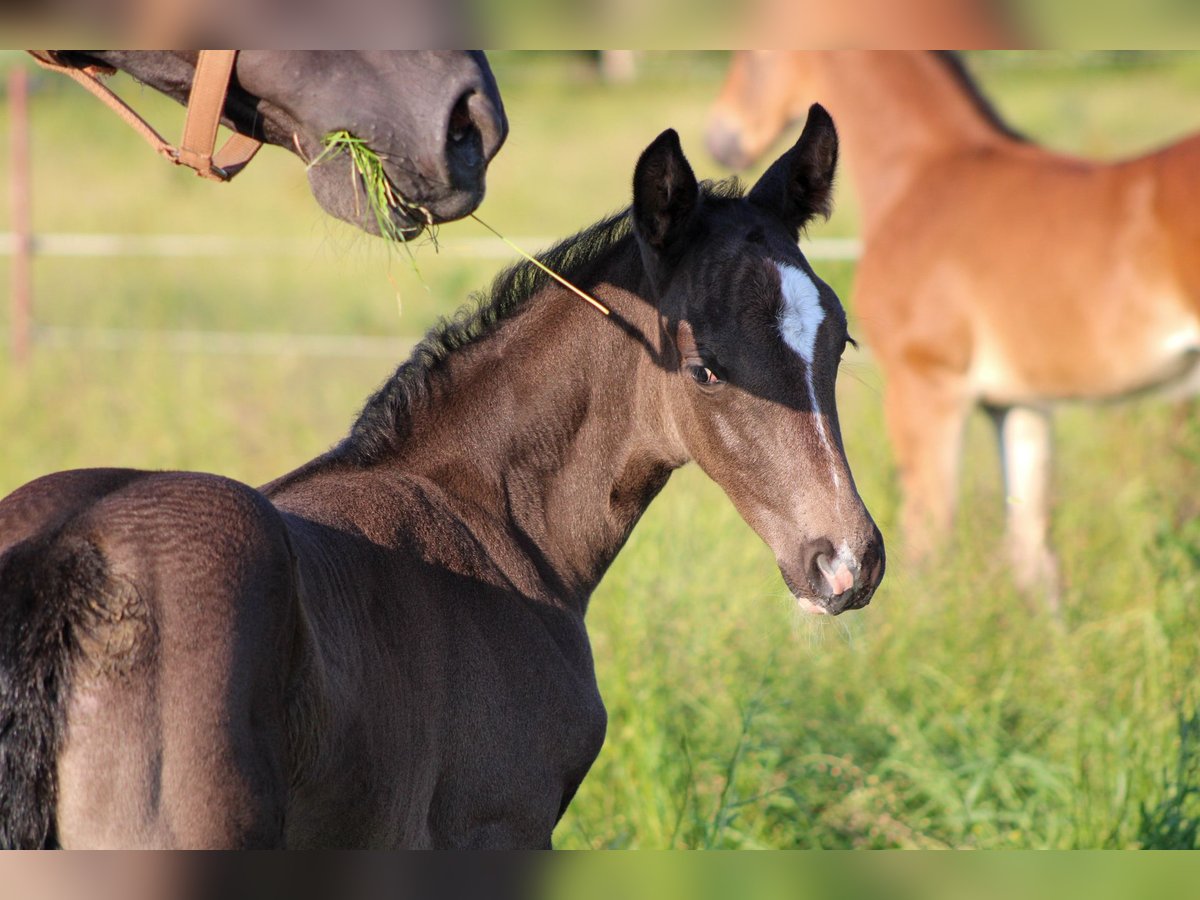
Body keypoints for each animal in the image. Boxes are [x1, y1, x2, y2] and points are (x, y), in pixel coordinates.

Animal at [0, 109, 883, 849]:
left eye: (839, 341)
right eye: (705, 369)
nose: (847, 562)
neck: (489, 515)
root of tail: (69, 561)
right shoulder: (498, 828)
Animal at [700, 52, 1200, 609]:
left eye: (753, 59)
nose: (720, 138)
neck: (920, 177)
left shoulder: (925, 386)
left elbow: (928, 543)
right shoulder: (1020, 404)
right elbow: (1033, 555)